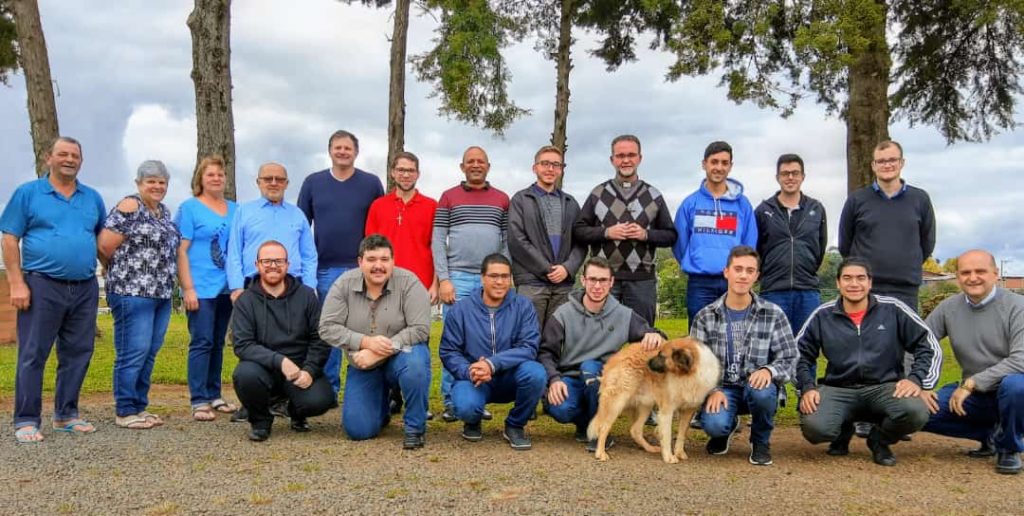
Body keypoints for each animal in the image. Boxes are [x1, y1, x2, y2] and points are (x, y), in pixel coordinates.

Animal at [585, 335, 720, 460]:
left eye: (662, 356)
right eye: (658, 352)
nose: (647, 363)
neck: (685, 375)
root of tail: (616, 357)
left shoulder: (689, 410)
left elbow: (682, 434)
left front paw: (679, 453)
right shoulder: (667, 410)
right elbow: (667, 435)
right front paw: (669, 457)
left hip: (645, 405)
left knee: (635, 430)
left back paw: (649, 448)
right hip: (617, 403)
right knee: (603, 427)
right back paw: (600, 453)